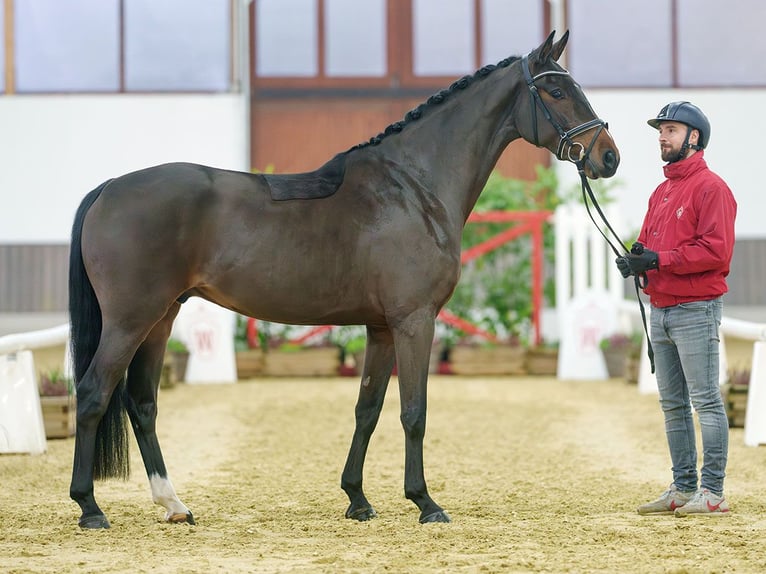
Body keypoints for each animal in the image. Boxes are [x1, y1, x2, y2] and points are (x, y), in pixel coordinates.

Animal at [66, 29, 616, 528]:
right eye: (556, 90)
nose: (608, 156)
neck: (414, 186)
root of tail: (108, 188)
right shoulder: (414, 321)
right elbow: (413, 412)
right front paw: (425, 502)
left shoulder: (381, 327)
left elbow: (367, 409)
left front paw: (357, 499)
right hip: (131, 319)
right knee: (93, 393)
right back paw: (89, 507)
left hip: (160, 318)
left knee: (141, 403)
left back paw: (174, 505)